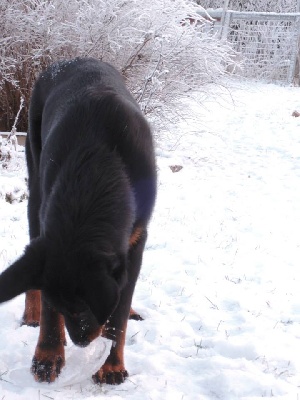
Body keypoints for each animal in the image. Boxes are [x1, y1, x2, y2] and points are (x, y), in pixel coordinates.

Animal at [0, 58, 156, 384]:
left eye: (82, 308)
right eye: (66, 307)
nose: (82, 342)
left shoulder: (136, 240)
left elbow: (119, 313)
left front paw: (111, 366)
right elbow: (49, 310)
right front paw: (47, 357)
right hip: (35, 190)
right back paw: (31, 314)